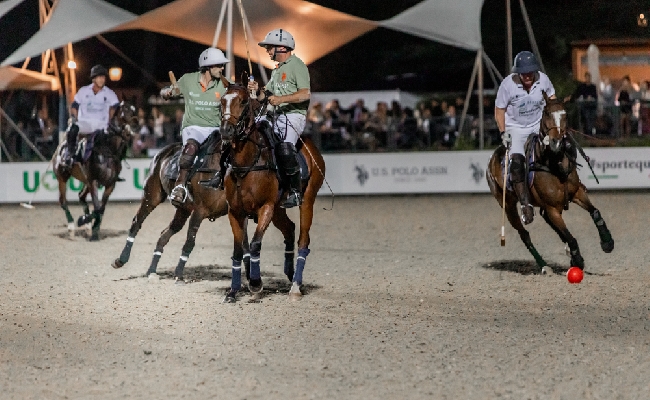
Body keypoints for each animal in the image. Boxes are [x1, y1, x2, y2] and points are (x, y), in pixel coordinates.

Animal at [53, 101, 138, 242]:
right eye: (124, 109)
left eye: (134, 110)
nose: (135, 124)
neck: (107, 151)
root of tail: (61, 146)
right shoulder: (93, 181)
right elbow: (97, 208)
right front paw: (84, 222)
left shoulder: (110, 184)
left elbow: (101, 209)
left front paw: (94, 230)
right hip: (62, 177)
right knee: (63, 201)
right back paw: (71, 228)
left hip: (85, 181)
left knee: (81, 196)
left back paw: (87, 227)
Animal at [110, 136, 246, 280]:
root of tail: (163, 151)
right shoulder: (199, 211)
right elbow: (190, 242)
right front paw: (179, 274)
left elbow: (244, 246)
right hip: (152, 196)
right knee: (137, 221)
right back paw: (121, 259)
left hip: (183, 209)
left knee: (166, 232)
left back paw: (151, 271)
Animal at [219, 76, 330, 302]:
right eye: (222, 101)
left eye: (243, 101)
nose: (226, 131)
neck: (247, 163)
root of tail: (310, 145)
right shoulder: (235, 211)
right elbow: (238, 250)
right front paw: (233, 291)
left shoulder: (266, 207)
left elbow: (254, 244)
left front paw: (255, 283)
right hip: (279, 208)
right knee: (289, 229)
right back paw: (290, 273)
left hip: (307, 200)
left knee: (303, 239)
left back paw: (295, 286)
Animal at [486, 90, 612, 272]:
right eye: (546, 113)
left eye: (565, 115)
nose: (556, 143)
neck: (554, 165)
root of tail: (493, 156)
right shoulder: (552, 208)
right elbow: (569, 235)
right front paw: (577, 260)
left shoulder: (576, 193)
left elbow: (595, 212)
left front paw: (607, 242)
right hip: (508, 205)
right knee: (525, 234)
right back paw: (544, 265)